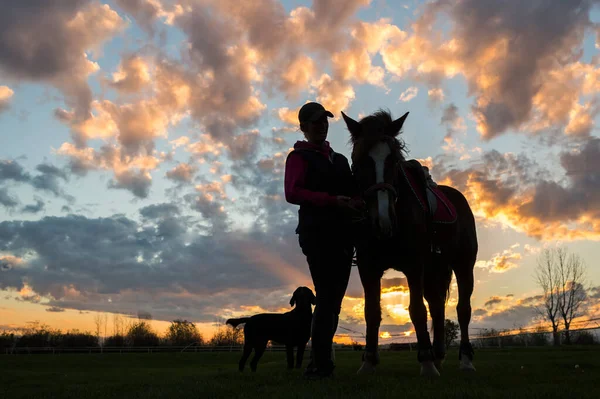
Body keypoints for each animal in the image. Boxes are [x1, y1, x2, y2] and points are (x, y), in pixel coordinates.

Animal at [342, 109, 478, 378]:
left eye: (394, 160)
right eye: (357, 160)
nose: (383, 219)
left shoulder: (414, 265)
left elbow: (416, 310)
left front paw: (425, 361)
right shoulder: (367, 267)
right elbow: (371, 312)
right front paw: (368, 361)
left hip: (463, 265)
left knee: (462, 310)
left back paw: (465, 360)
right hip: (435, 269)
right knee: (437, 306)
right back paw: (439, 356)